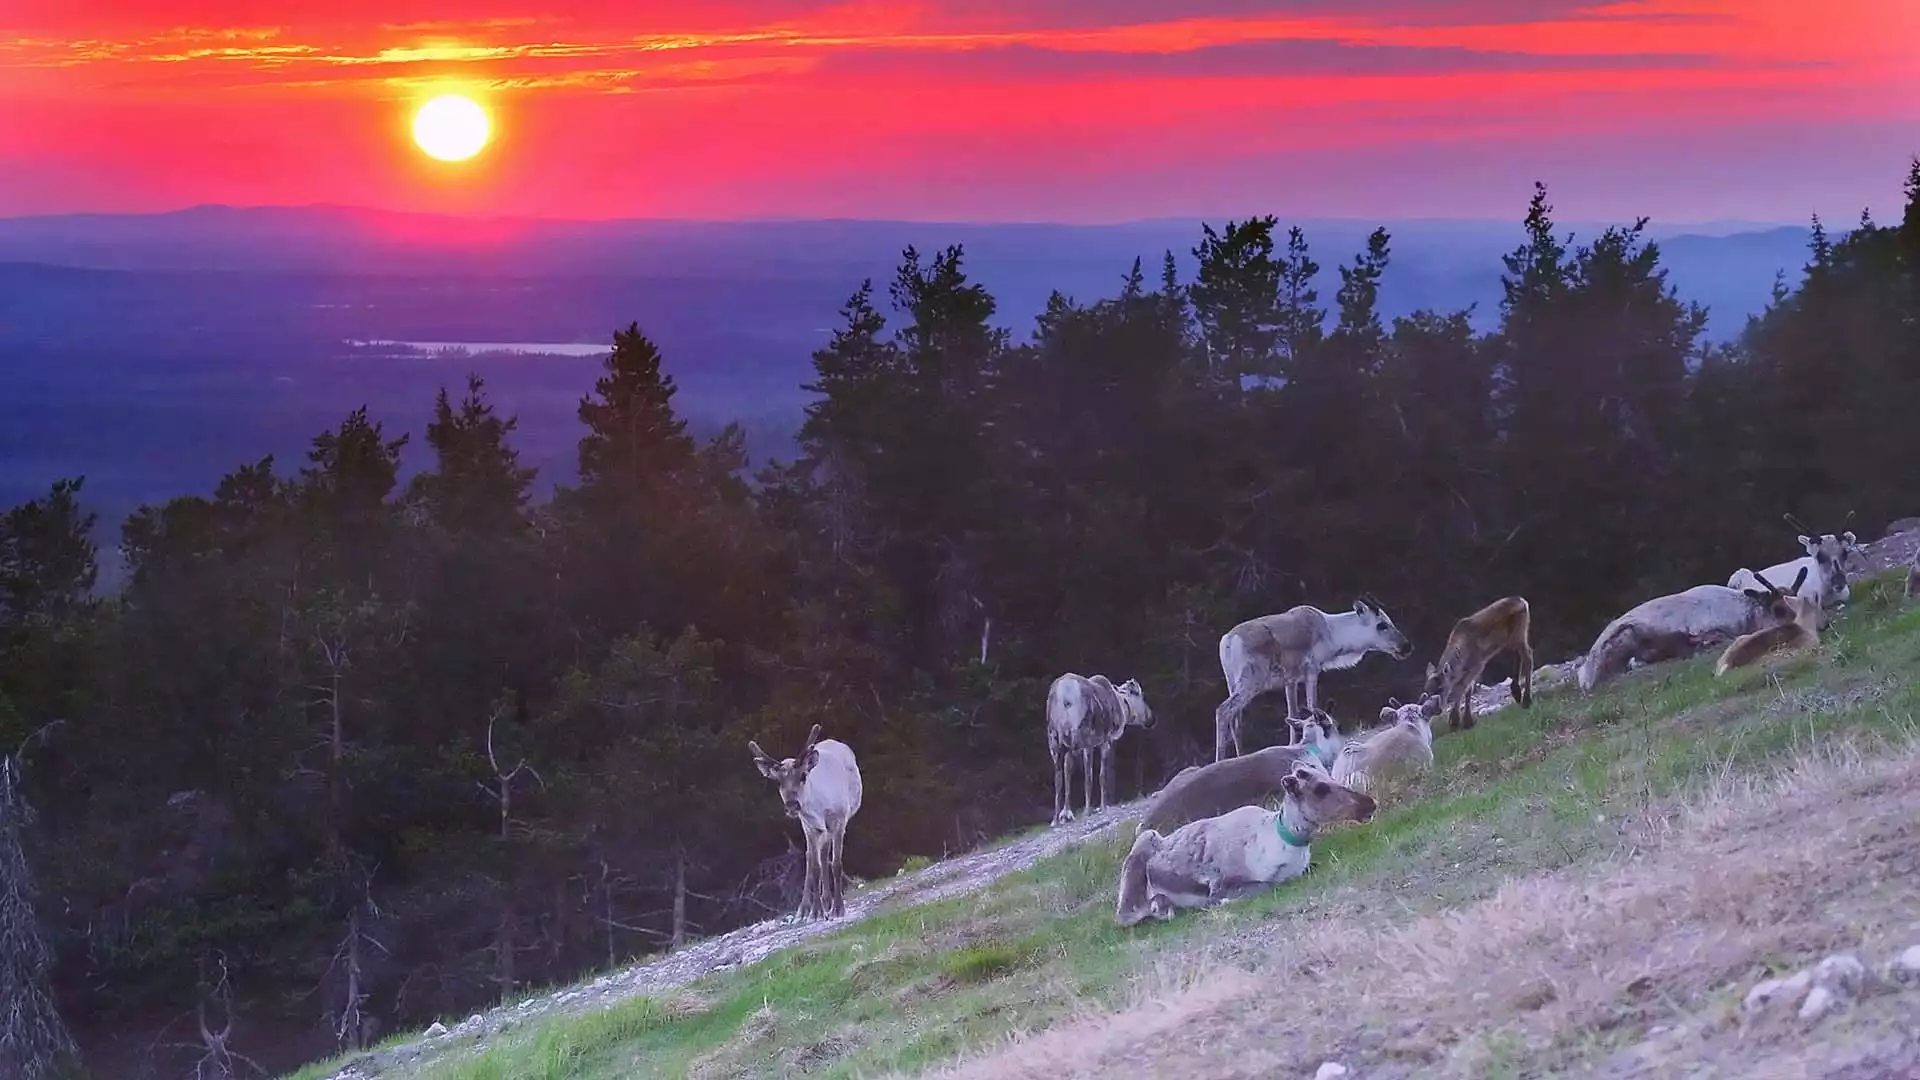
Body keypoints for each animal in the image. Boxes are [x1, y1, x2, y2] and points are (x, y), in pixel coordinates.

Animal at [748, 722, 864, 914]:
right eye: (778, 782)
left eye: (803, 775)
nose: (792, 805)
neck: (820, 806)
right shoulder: (810, 826)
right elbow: (814, 866)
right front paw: (816, 911)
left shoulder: (839, 820)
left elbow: (836, 863)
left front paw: (838, 907)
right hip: (812, 829)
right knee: (811, 858)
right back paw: (806, 907)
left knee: (824, 856)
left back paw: (827, 901)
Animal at [1420, 591, 1536, 734]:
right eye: (1426, 690)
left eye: (1441, 688)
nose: (1437, 709)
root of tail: (1523, 601)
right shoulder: (1470, 668)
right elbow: (1468, 689)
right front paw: (1466, 721)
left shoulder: (1478, 664)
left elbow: (1461, 688)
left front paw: (1456, 721)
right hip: (1512, 638)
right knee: (1519, 655)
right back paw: (1517, 692)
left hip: (1519, 633)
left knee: (1528, 656)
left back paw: (1526, 700)